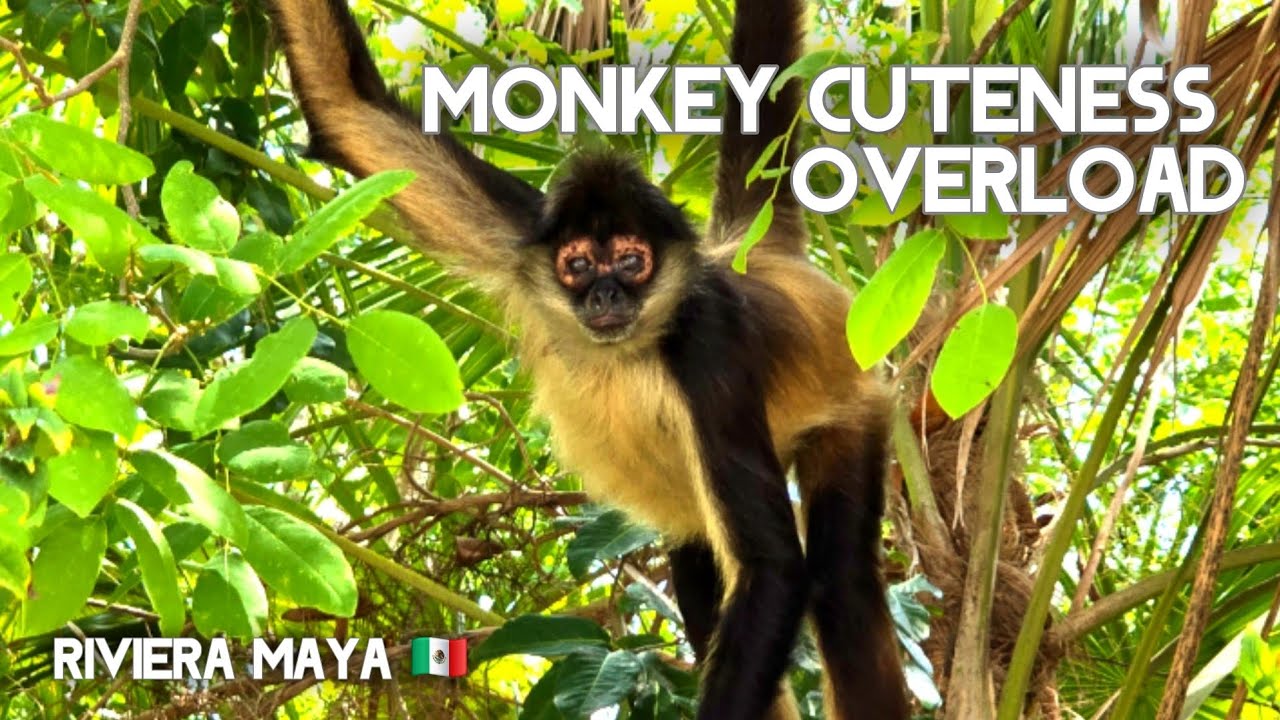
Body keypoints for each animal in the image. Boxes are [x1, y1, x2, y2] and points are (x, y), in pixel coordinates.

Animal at [265, 0, 910, 717]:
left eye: (632, 261)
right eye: (578, 265)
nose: (605, 293)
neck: (624, 347)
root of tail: (753, 252)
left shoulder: (707, 344)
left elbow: (775, 569)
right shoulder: (526, 239)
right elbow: (347, 106)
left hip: (853, 404)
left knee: (839, 583)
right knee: (703, 572)